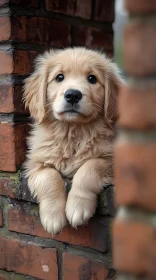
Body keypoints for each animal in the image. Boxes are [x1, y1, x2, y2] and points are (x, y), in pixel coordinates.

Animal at [23, 47, 122, 235]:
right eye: (59, 77)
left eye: (92, 78)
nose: (73, 95)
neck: (73, 132)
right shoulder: (35, 163)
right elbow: (49, 176)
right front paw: (53, 217)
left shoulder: (113, 159)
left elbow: (89, 167)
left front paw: (77, 206)